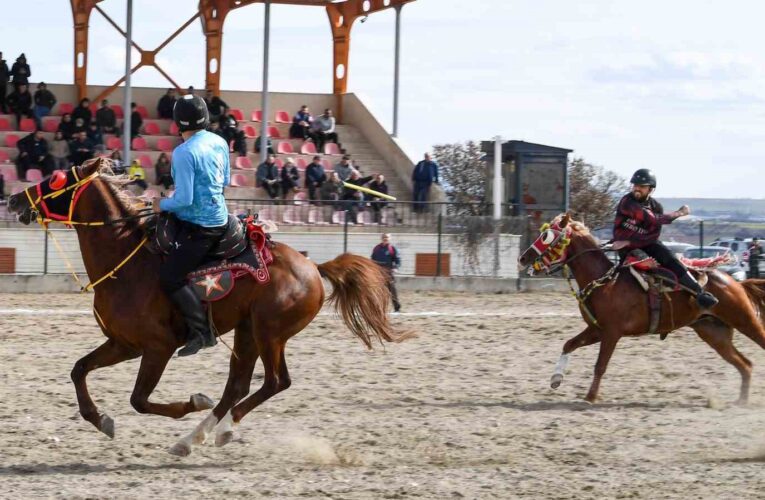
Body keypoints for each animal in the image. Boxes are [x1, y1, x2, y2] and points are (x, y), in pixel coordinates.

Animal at [7, 158, 412, 456]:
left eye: (56, 179)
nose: (13, 200)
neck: (126, 263)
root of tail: (313, 266)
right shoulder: (124, 344)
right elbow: (79, 370)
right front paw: (100, 419)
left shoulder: (157, 348)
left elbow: (139, 399)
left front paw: (192, 402)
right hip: (248, 332)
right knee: (238, 385)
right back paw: (194, 437)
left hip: (269, 333)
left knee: (274, 382)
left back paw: (221, 430)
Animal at [516, 213, 765, 404]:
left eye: (546, 236)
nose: (522, 258)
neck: (605, 281)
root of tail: (736, 282)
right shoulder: (597, 330)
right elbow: (569, 344)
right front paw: (556, 378)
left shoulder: (612, 333)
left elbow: (600, 365)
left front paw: (590, 397)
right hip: (714, 333)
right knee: (745, 365)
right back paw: (741, 401)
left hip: (744, 319)